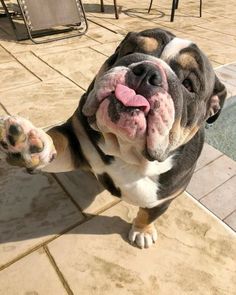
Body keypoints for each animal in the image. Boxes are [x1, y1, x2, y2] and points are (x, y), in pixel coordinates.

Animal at [0, 28, 227, 250]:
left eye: (188, 85)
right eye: (130, 51)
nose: (148, 71)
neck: (126, 150)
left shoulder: (165, 198)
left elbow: (149, 214)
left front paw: (143, 231)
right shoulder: (76, 139)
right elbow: (57, 141)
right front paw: (29, 144)